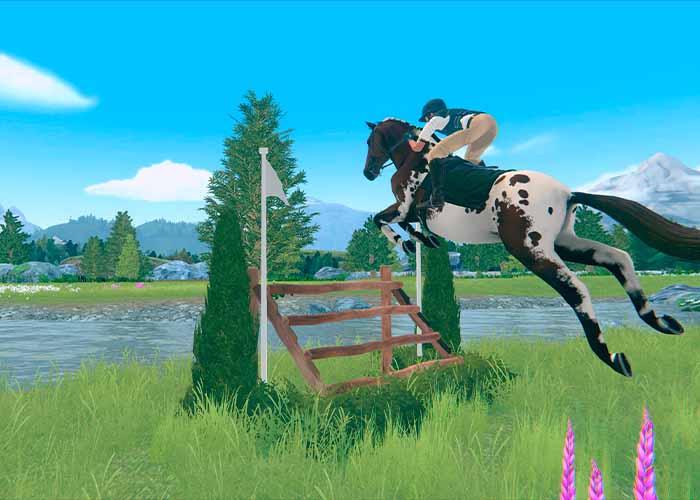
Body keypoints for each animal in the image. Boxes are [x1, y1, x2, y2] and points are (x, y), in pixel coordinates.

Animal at [363, 117, 700, 377]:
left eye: (370, 142)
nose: (368, 172)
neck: (415, 159)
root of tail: (567, 193)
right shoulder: (411, 212)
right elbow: (397, 222)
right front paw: (420, 240)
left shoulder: (405, 206)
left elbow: (383, 218)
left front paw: (408, 241)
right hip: (564, 242)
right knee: (619, 258)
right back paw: (662, 323)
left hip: (529, 249)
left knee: (577, 289)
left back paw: (612, 358)